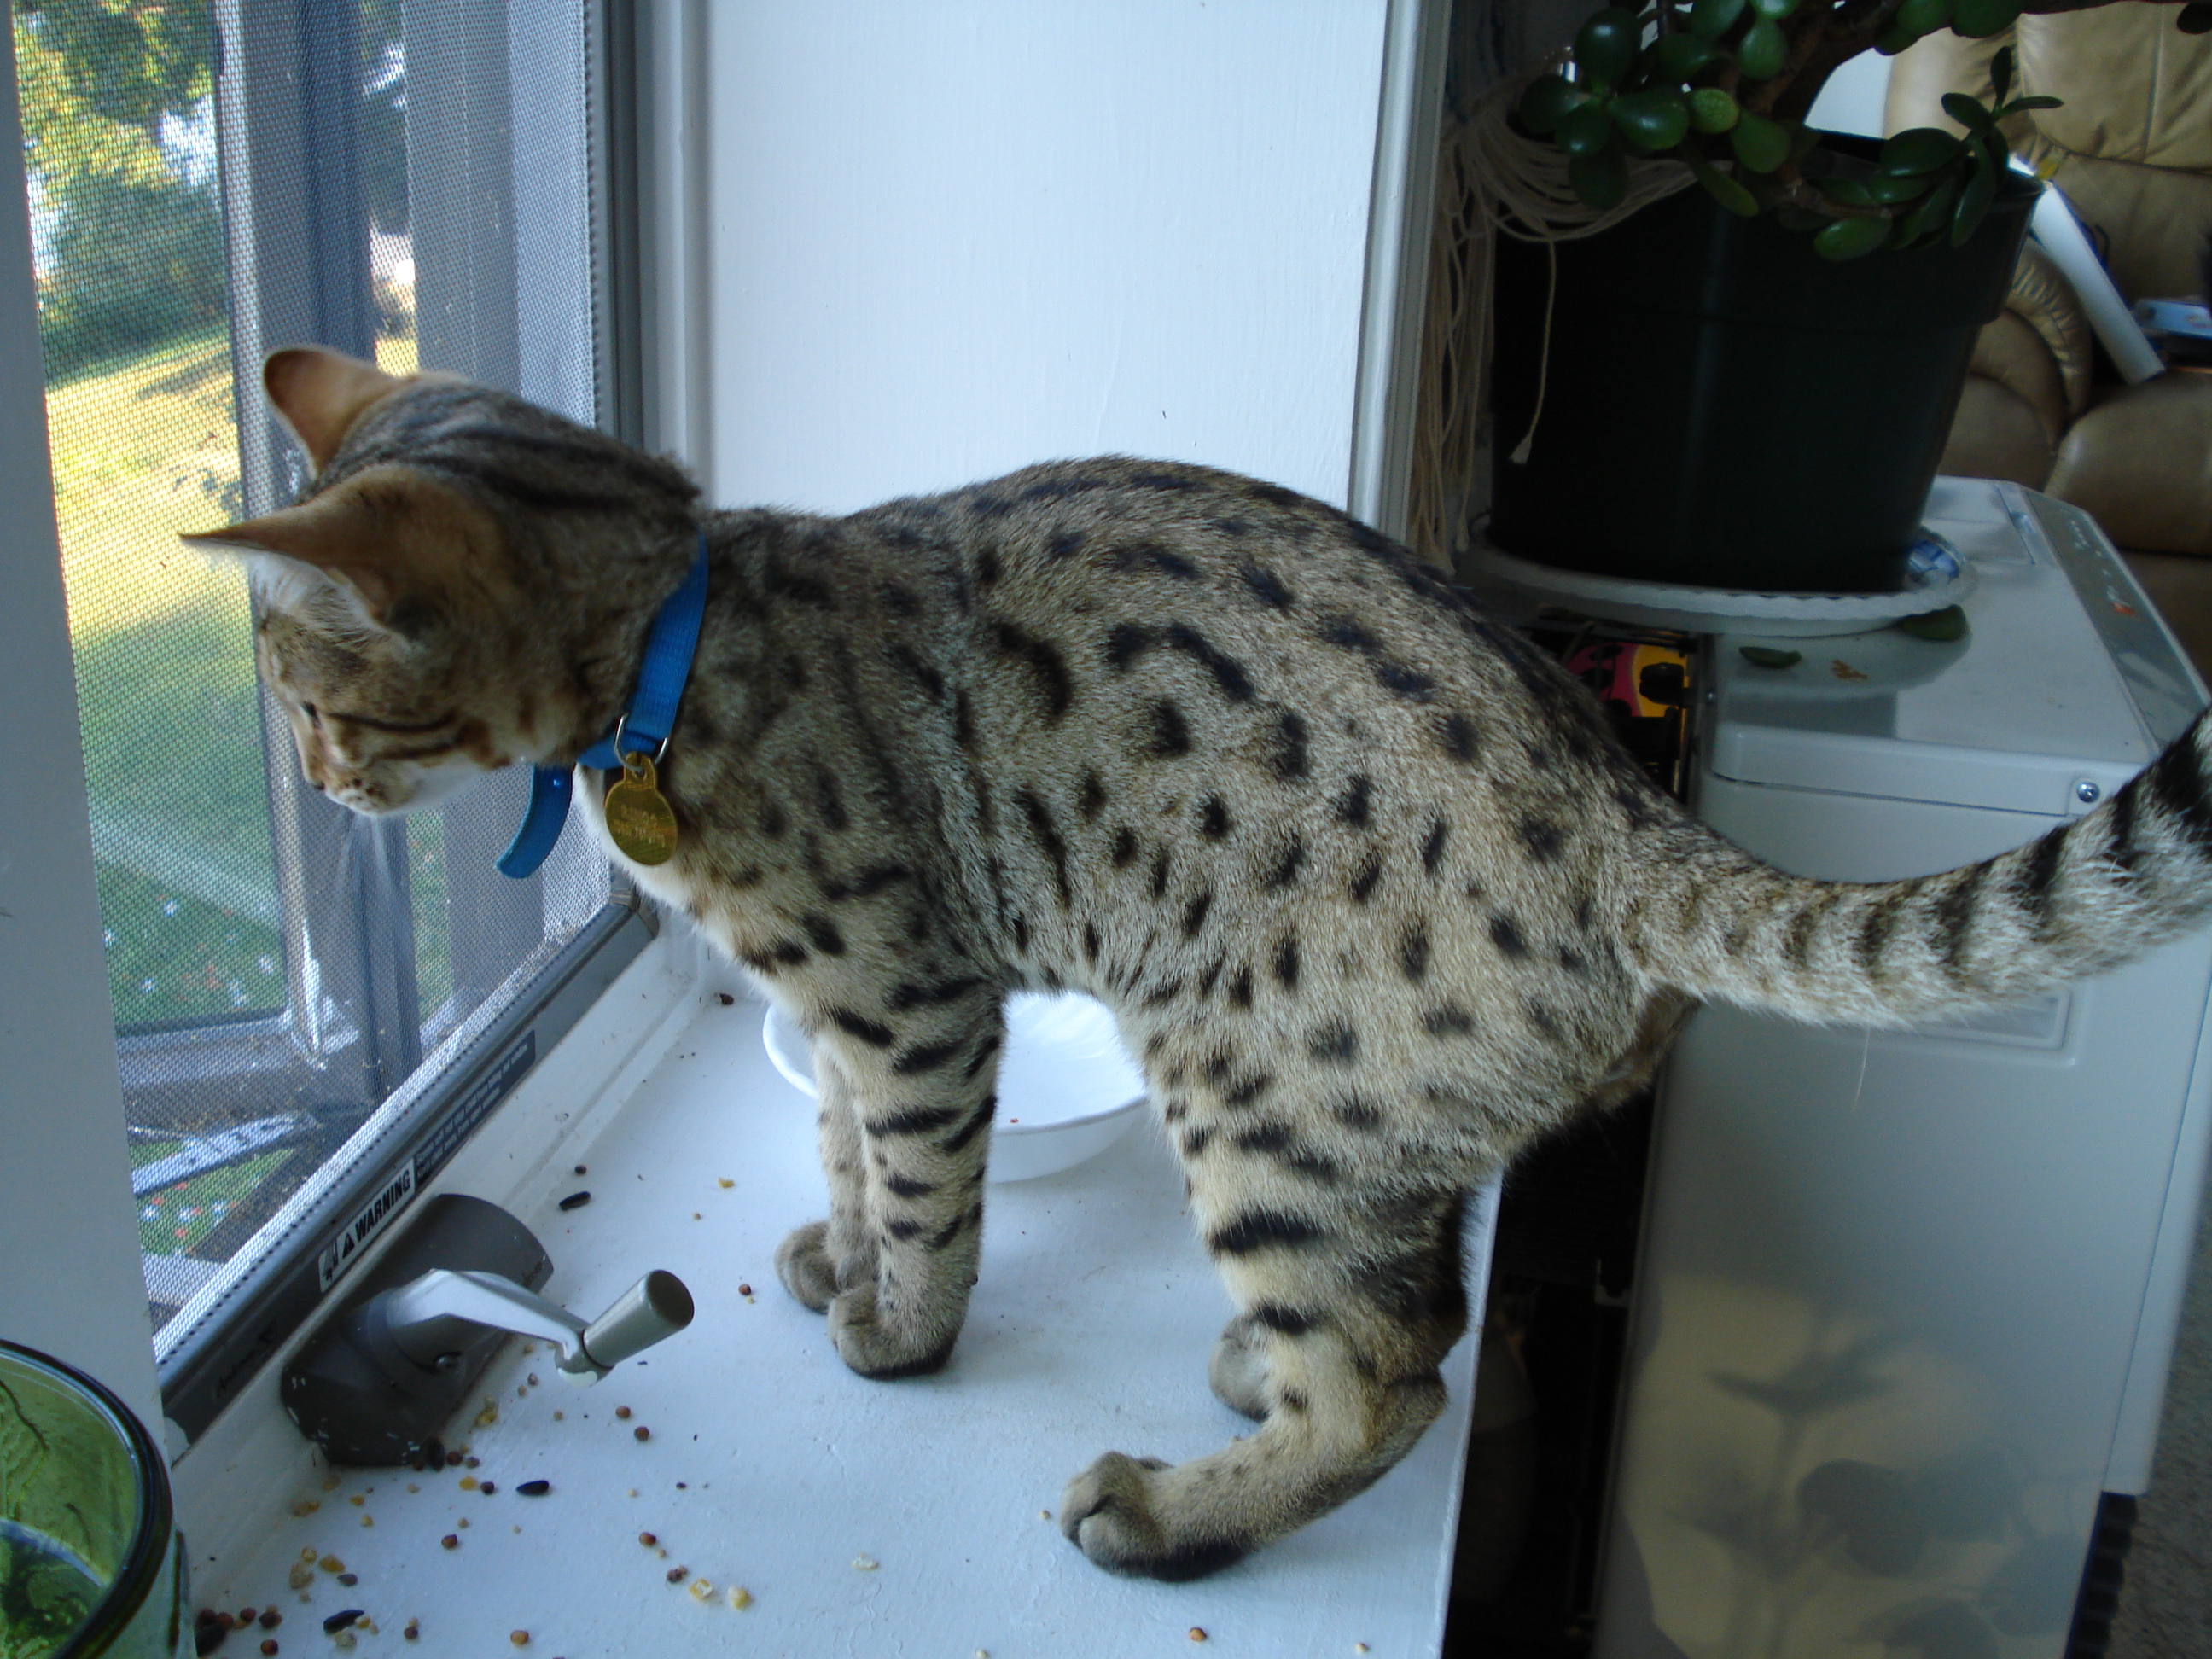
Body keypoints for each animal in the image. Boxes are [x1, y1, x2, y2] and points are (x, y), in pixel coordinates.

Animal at [187, 344, 2212, 1581]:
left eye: (309, 698)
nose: (306, 772)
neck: (677, 637)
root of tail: (1634, 813)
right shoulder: (821, 1010)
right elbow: (837, 1146)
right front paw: (836, 1252)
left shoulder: (909, 1000)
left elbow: (920, 1186)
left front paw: (898, 1328)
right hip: (1365, 1112)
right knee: (1421, 1311)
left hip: (1258, 1090)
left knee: (1392, 1379)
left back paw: (1167, 1516)